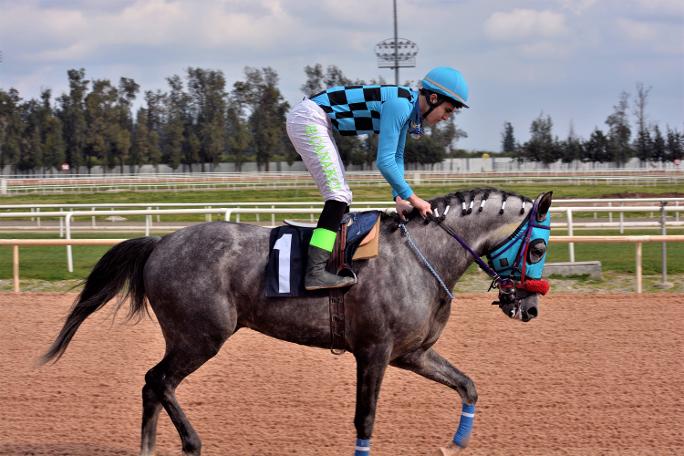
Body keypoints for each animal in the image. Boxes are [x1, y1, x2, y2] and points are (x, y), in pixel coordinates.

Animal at [41, 187, 552, 454]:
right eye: (539, 247)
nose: (529, 308)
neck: (420, 256)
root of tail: (161, 241)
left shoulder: (413, 353)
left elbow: (468, 385)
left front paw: (455, 444)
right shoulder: (374, 352)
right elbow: (365, 419)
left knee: (152, 385)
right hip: (199, 336)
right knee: (158, 380)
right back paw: (192, 442)